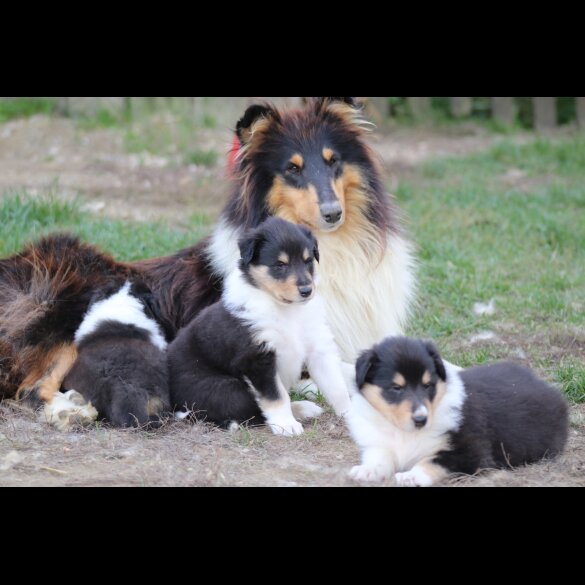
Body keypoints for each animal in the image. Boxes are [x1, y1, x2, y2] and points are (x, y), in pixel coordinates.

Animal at [169, 217, 352, 436]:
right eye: (280, 265)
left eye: (308, 260)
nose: (307, 290)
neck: (287, 310)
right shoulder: (258, 358)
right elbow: (276, 396)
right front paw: (285, 425)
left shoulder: (318, 348)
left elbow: (337, 387)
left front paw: (353, 415)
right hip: (226, 388)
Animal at [346, 336, 564, 486]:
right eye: (396, 388)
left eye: (428, 385)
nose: (421, 419)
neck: (406, 434)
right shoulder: (380, 444)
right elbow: (380, 457)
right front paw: (367, 471)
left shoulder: (472, 453)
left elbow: (433, 461)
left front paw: (411, 476)